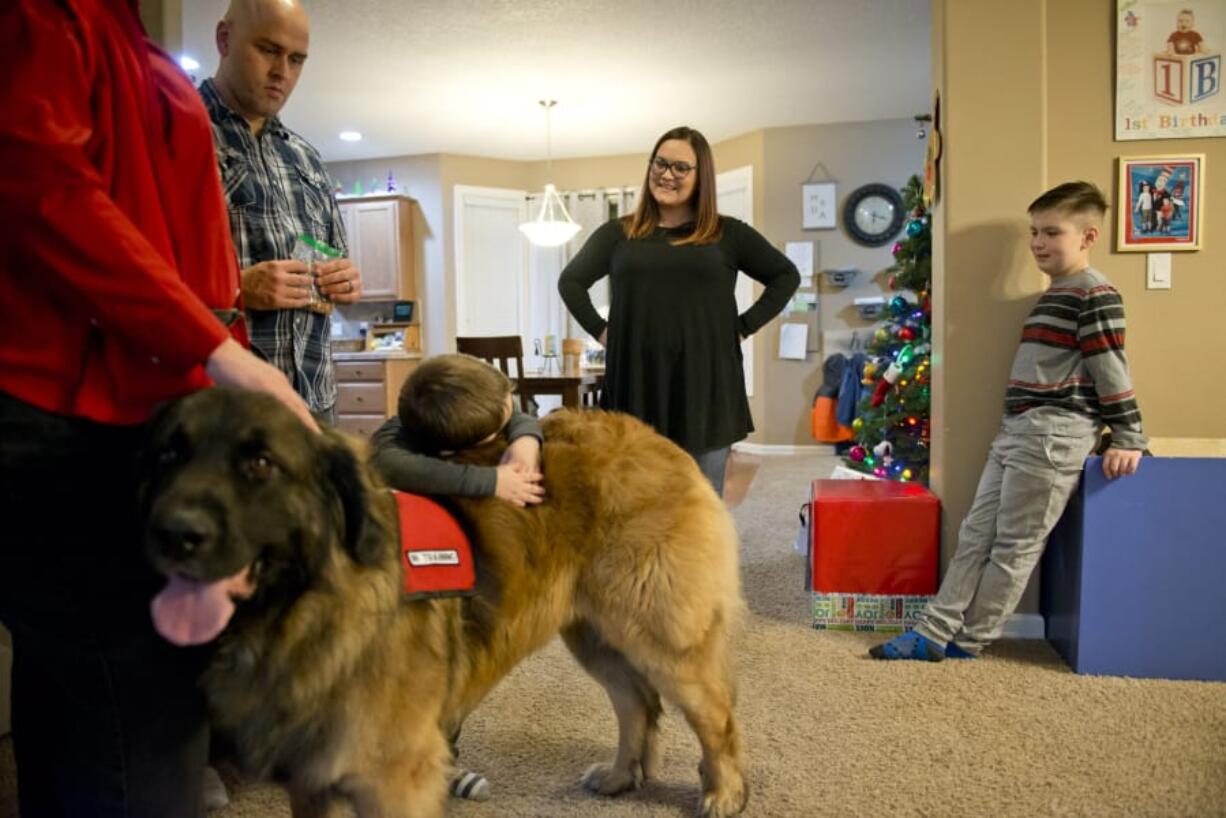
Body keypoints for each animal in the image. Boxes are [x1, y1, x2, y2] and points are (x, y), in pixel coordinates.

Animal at [139, 389, 740, 818]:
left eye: (260, 464)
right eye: (168, 456)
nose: (172, 533)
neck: (306, 611)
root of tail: (650, 436)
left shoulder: (393, 778)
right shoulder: (315, 778)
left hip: (660, 637)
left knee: (713, 712)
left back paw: (725, 792)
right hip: (594, 635)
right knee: (635, 703)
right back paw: (620, 777)